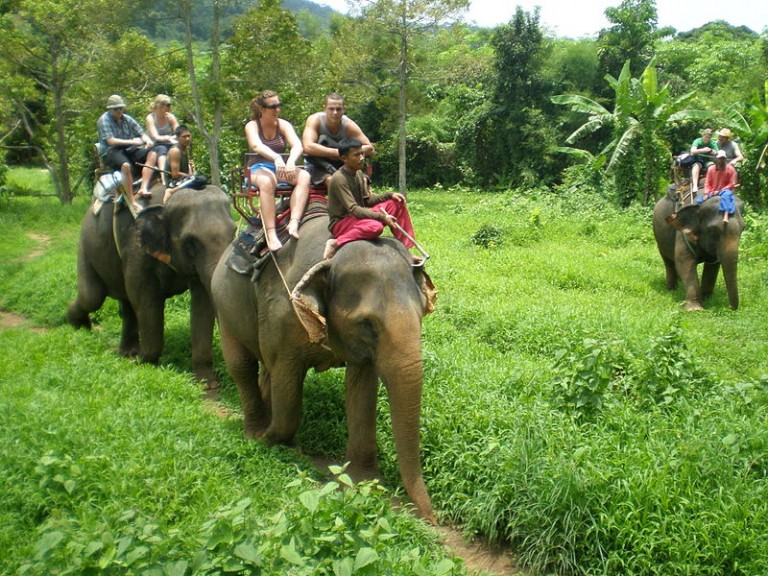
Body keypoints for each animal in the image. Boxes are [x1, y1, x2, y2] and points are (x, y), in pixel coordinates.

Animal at [67, 184, 236, 388]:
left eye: (234, 233)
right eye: (190, 242)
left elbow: (202, 303)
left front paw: (207, 383)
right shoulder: (136, 250)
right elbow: (146, 300)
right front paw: (145, 364)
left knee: (124, 302)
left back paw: (127, 352)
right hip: (85, 245)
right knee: (92, 297)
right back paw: (78, 326)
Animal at [211, 202, 437, 522]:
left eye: (421, 313)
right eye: (367, 324)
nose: (430, 518)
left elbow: (361, 391)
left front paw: (363, 483)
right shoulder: (284, 312)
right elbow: (287, 379)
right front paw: (276, 442)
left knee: (265, 369)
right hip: (223, 301)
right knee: (242, 365)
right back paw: (255, 431)